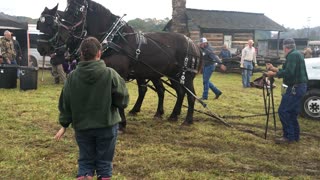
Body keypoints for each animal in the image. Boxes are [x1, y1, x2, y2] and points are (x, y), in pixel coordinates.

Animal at [37, 0, 202, 126]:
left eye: (76, 13)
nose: (41, 48)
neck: (113, 39)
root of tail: (193, 44)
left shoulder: (119, 74)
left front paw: (121, 123)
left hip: (184, 76)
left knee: (190, 96)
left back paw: (187, 120)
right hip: (169, 75)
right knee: (178, 92)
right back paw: (172, 115)